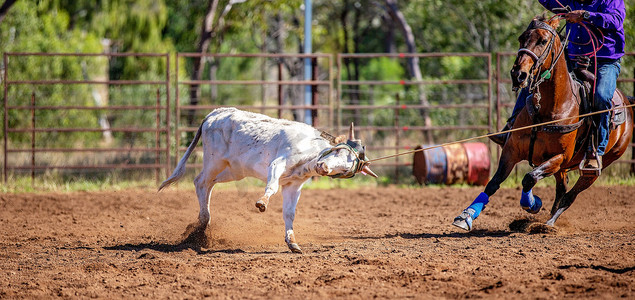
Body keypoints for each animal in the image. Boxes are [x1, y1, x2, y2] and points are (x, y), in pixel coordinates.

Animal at [159, 108, 378, 253]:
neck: (308, 151)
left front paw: (292, 242)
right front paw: (262, 202)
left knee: (207, 184)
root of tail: (215, 113)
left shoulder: (293, 186)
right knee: (201, 182)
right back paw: (203, 222)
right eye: (338, 151)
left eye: (345, 170)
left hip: (233, 170)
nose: (323, 167)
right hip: (215, 161)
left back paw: (203, 224)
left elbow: (289, 213)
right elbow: (271, 187)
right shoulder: (276, 164)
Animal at [454, 16, 632, 231]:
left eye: (543, 41)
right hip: (563, 168)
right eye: (522, 38)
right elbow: (493, 183)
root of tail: (628, 102)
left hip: (599, 164)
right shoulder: (511, 150)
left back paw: (549, 223)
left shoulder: (559, 157)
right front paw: (466, 216)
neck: (550, 107)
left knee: (571, 194)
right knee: (562, 188)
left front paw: (532, 204)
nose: (518, 74)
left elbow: (529, 178)